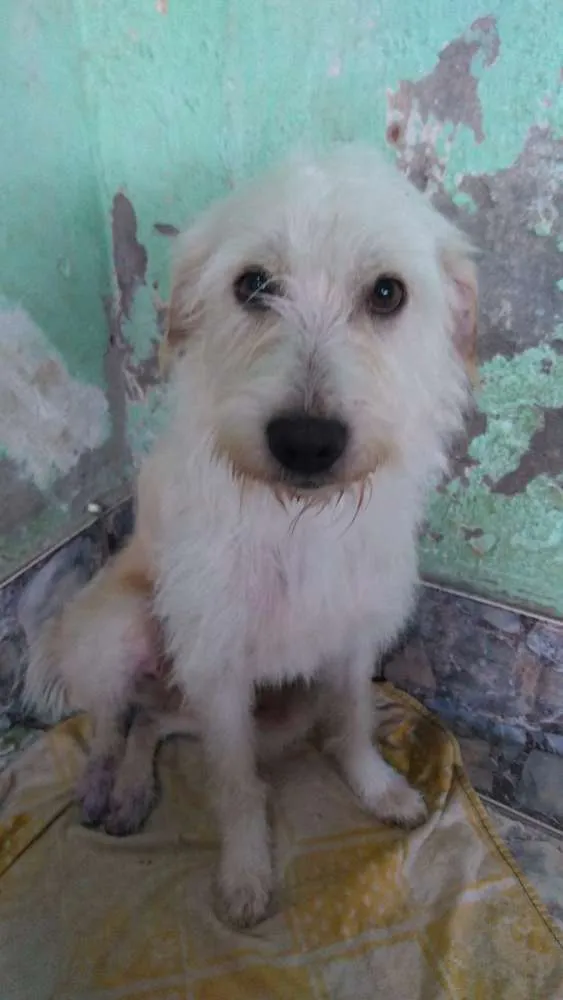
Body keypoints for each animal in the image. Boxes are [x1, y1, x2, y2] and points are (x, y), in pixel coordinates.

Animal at [22, 143, 477, 927]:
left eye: (387, 293)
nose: (306, 442)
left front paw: (377, 788)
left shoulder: (352, 642)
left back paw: (136, 788)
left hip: (274, 712)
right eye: (254, 285)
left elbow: (352, 722)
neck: (297, 520)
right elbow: (234, 784)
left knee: (156, 722)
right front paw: (244, 873)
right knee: (114, 720)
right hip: (123, 630)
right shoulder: (220, 665)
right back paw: (105, 786)